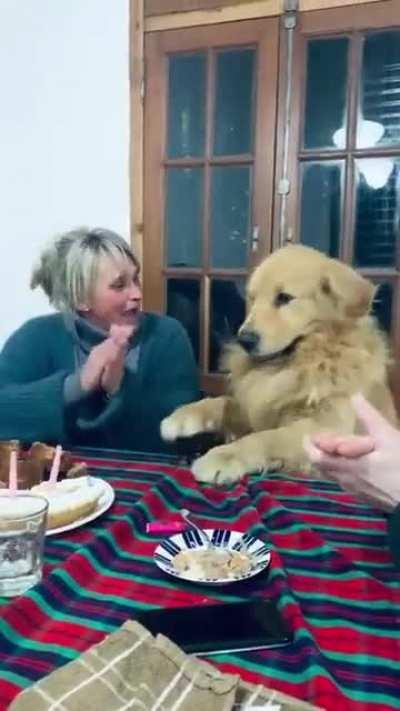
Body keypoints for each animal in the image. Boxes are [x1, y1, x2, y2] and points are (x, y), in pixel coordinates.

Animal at [160, 245, 396, 484]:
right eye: (253, 299)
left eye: (284, 298)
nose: (244, 339)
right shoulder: (257, 407)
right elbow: (221, 402)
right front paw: (181, 417)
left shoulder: (326, 428)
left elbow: (265, 438)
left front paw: (223, 456)